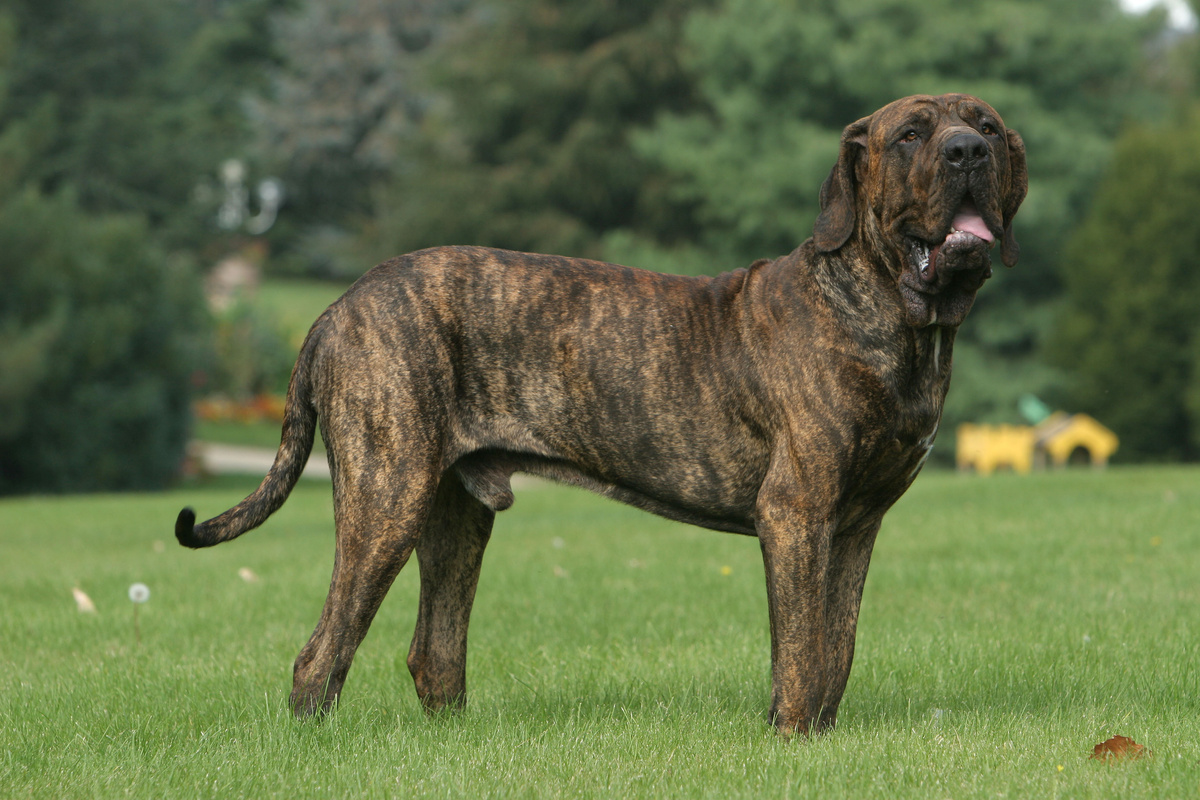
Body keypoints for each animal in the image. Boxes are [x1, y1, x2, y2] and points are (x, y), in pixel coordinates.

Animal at [174, 92, 1027, 734]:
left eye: (986, 127)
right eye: (911, 134)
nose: (967, 154)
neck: (891, 313)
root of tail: (337, 307)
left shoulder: (856, 522)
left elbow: (835, 646)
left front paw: (819, 734)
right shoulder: (797, 511)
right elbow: (801, 648)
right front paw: (790, 738)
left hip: (453, 515)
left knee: (434, 653)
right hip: (388, 495)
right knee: (321, 652)